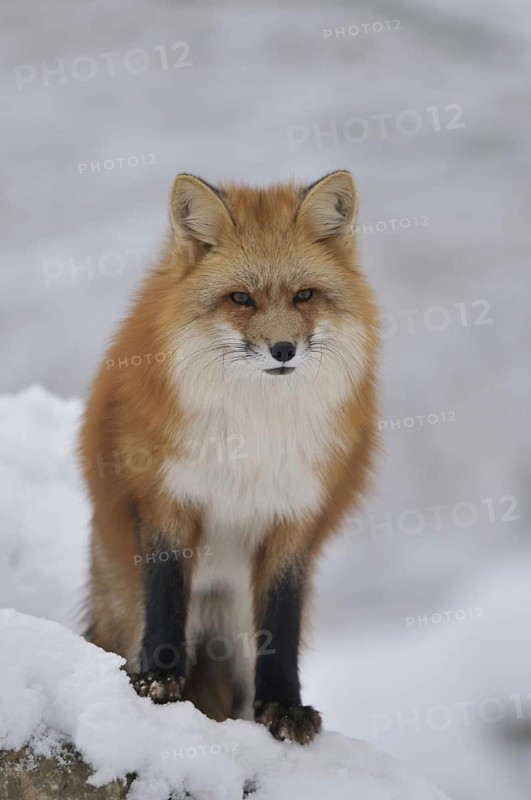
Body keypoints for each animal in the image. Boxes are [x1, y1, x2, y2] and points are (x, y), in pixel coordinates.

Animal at [79, 170, 379, 745]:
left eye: (304, 295)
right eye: (241, 298)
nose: (283, 349)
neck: (254, 429)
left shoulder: (294, 516)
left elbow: (281, 626)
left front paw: (285, 706)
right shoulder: (167, 497)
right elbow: (166, 594)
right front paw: (159, 680)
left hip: (238, 626)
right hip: (126, 607)